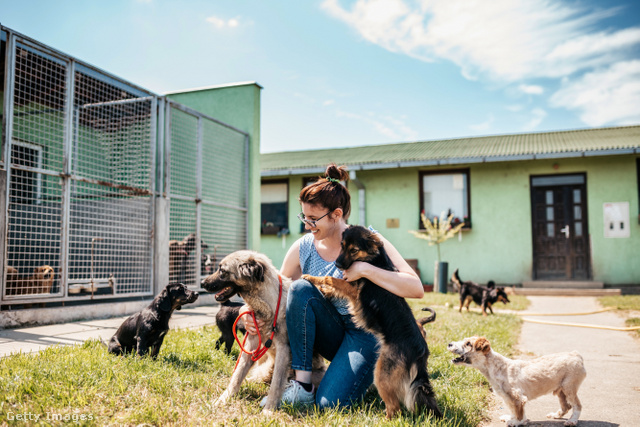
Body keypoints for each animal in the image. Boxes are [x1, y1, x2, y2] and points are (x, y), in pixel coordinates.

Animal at [302, 226, 442, 420]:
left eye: (354, 250)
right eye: (342, 246)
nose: (337, 264)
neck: (373, 259)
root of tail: (420, 350)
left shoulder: (354, 290)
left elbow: (331, 279)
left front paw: (311, 277)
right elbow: (334, 285)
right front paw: (325, 291)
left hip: (381, 374)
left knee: (395, 409)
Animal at [448, 338, 588, 427]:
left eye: (468, 344)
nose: (449, 344)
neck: (496, 367)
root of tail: (576, 355)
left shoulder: (517, 397)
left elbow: (519, 412)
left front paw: (517, 422)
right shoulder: (508, 397)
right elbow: (513, 410)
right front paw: (512, 418)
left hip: (569, 388)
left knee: (577, 406)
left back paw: (572, 421)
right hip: (560, 390)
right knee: (566, 406)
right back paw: (556, 415)